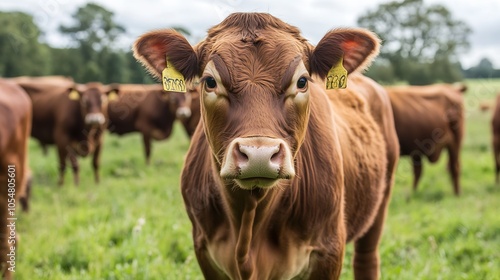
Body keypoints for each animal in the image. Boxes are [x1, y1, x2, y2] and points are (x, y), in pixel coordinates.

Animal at [134, 12, 398, 278]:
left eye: (302, 81)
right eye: (210, 81)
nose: (258, 155)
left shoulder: (329, 249)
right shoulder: (204, 248)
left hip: (380, 202)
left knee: (367, 258)